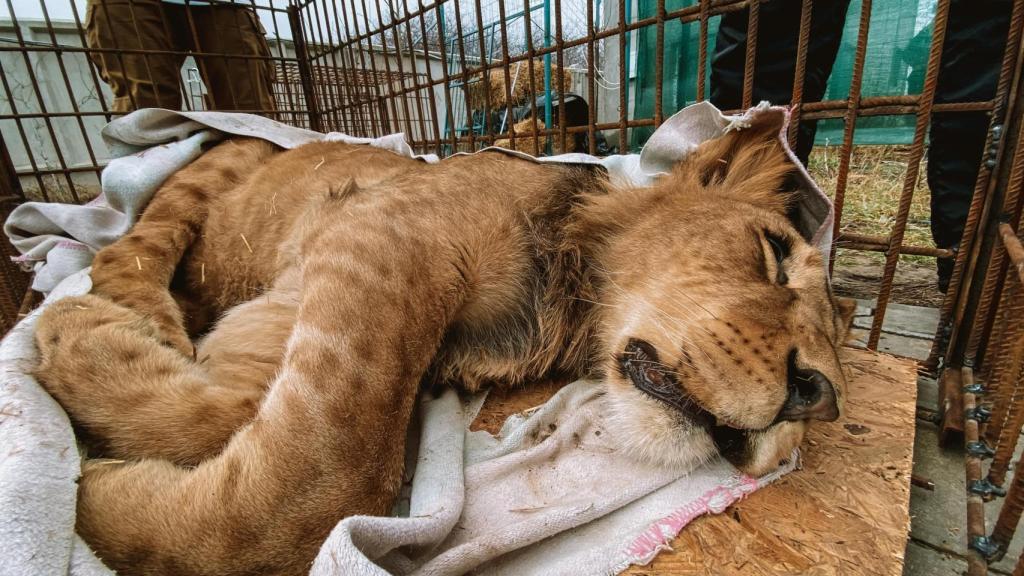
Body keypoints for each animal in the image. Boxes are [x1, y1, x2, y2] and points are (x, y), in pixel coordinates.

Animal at [33, 118, 854, 575]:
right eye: (775, 253)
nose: (820, 398)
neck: (564, 297)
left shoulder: (327, 285)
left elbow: (243, 413)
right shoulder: (381, 237)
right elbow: (332, 466)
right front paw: (94, 490)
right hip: (204, 176)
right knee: (128, 248)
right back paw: (96, 314)